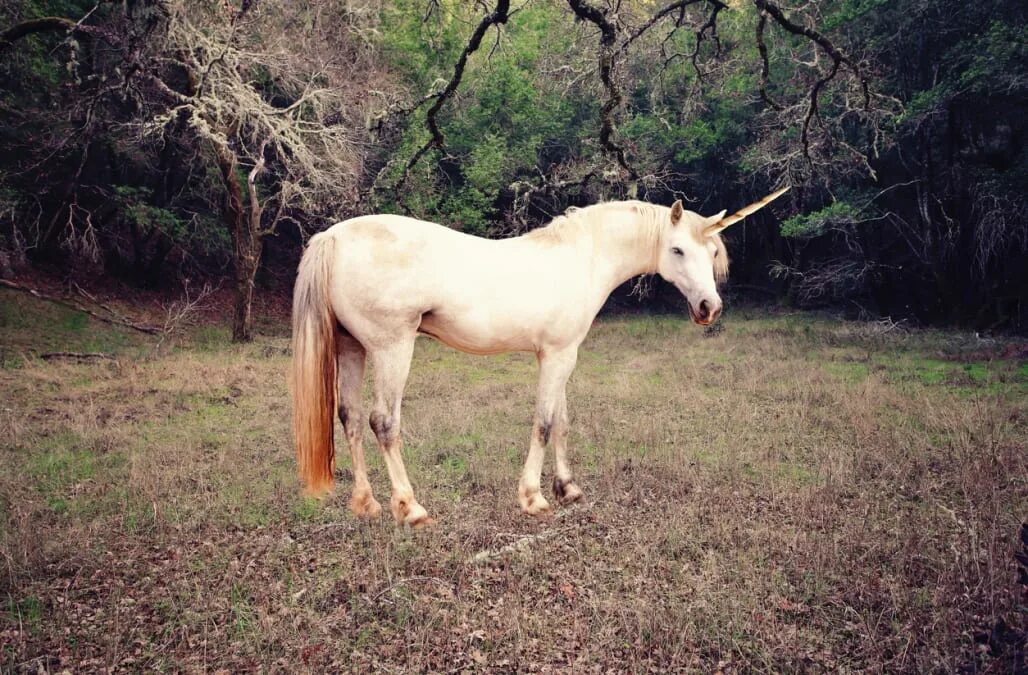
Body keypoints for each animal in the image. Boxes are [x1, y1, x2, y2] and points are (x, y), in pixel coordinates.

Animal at [289, 188, 785, 526]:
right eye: (678, 249)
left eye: (712, 251)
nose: (708, 308)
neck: (581, 258)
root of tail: (333, 237)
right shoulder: (557, 356)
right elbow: (545, 423)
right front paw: (533, 497)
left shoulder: (562, 356)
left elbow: (562, 421)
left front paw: (568, 489)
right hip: (392, 348)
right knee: (383, 423)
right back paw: (410, 508)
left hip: (352, 347)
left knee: (350, 419)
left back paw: (366, 503)